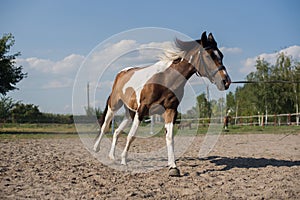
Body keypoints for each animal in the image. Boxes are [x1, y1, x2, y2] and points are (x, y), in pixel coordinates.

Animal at [94, 31, 232, 177]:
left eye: (221, 55)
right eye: (208, 55)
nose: (226, 81)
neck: (165, 79)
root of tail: (121, 74)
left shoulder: (170, 110)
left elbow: (169, 137)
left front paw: (173, 167)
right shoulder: (142, 109)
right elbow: (132, 136)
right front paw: (124, 161)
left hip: (130, 113)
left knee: (117, 132)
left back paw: (112, 156)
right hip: (114, 105)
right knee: (105, 127)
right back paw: (96, 148)